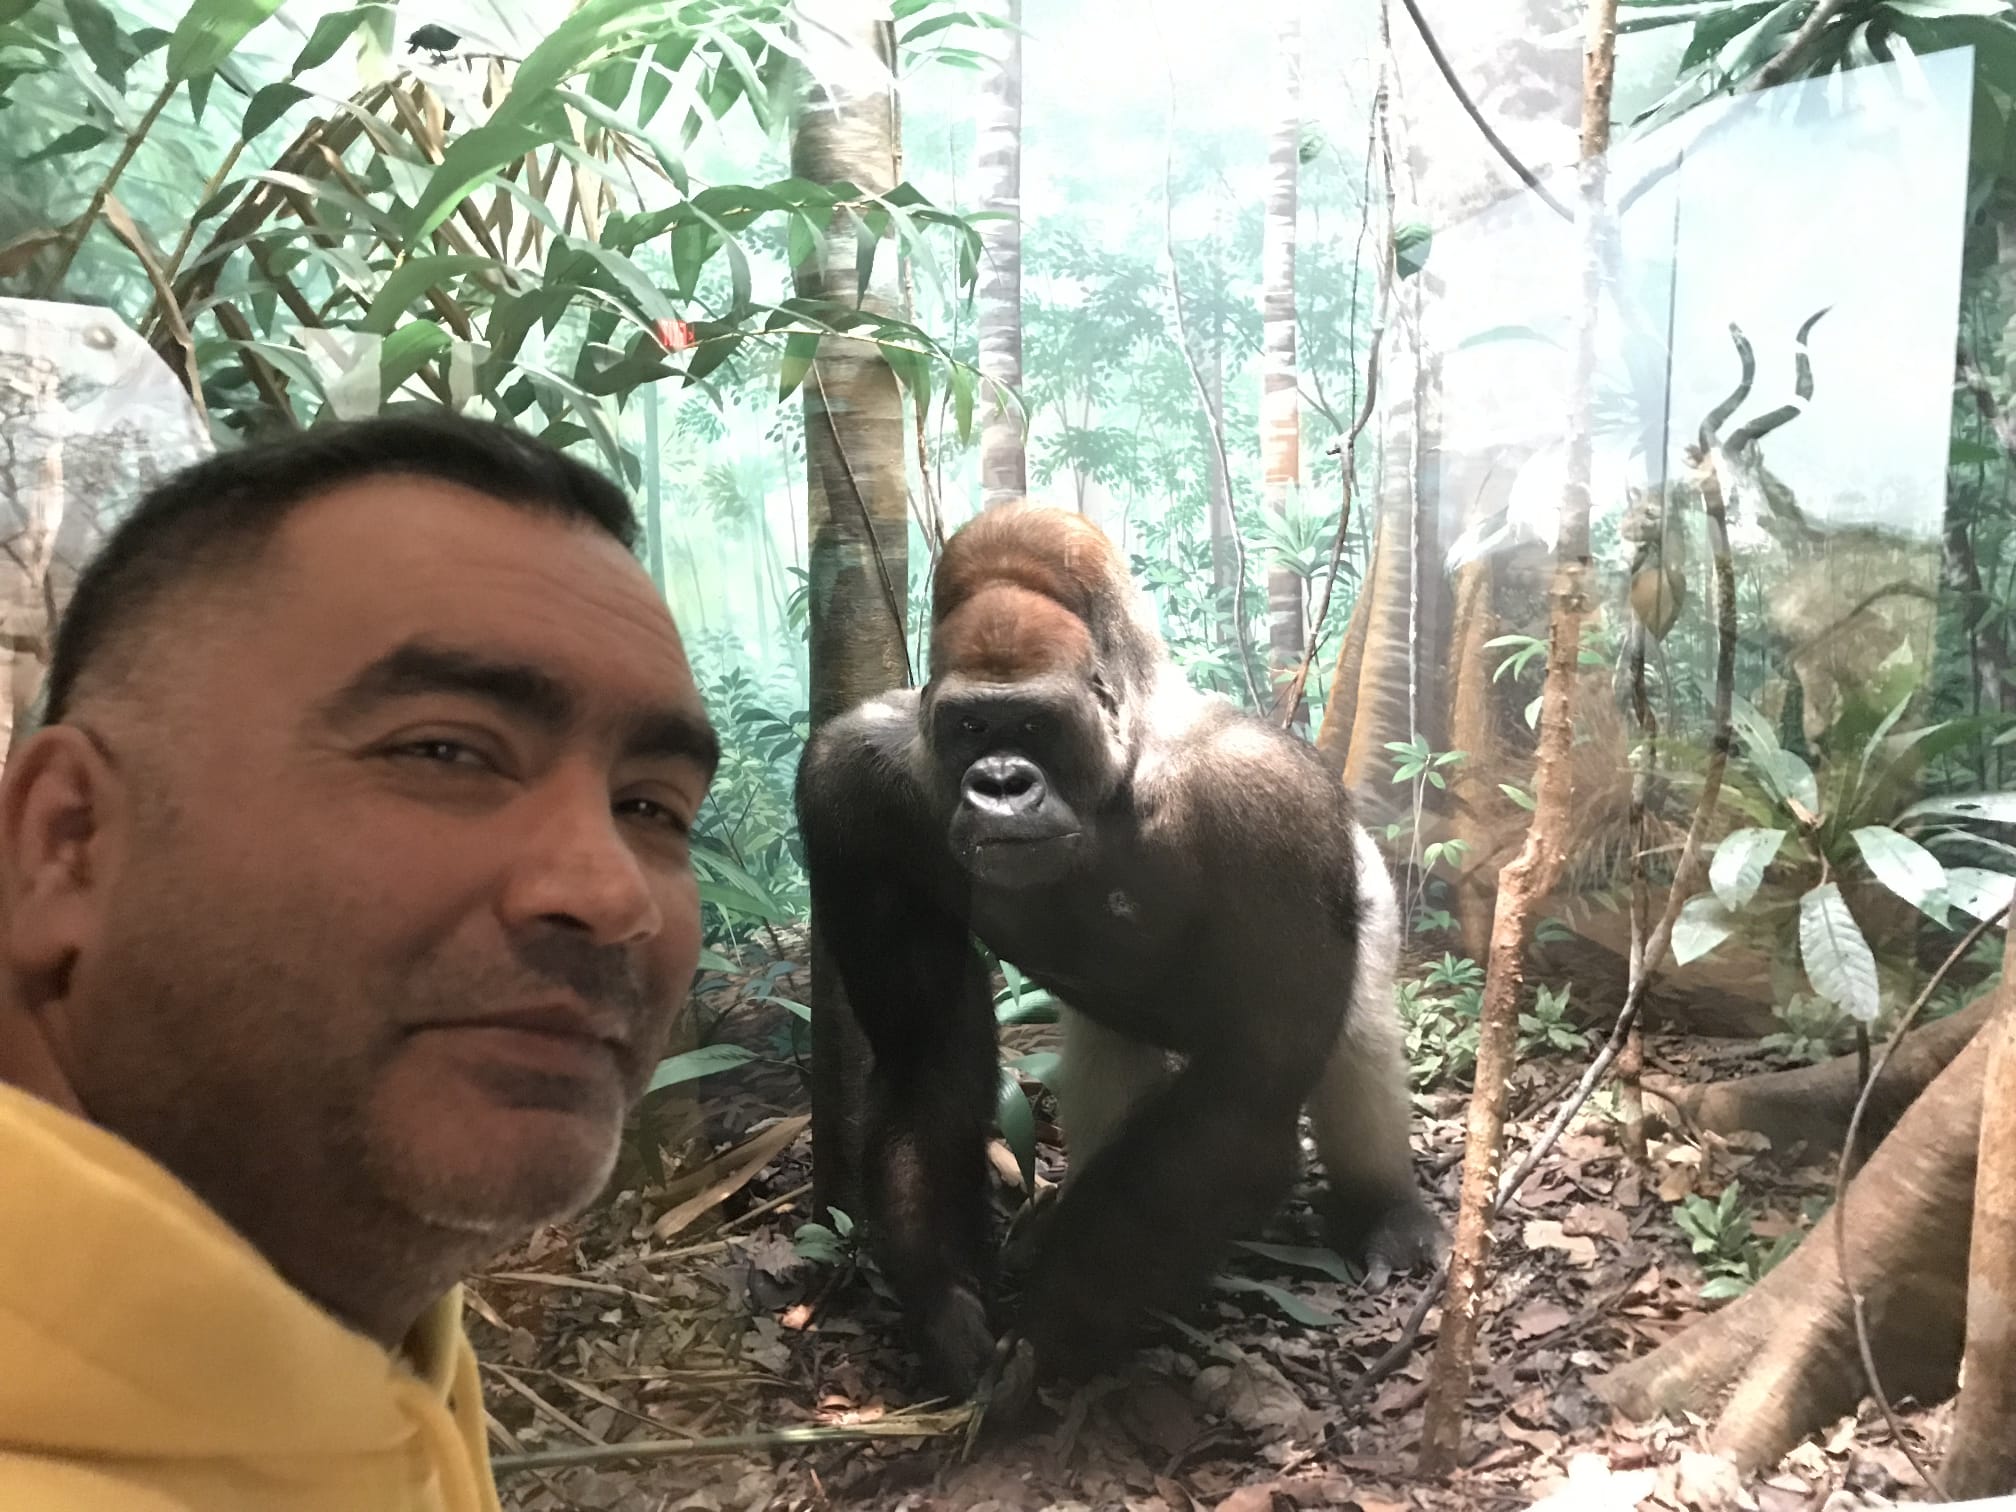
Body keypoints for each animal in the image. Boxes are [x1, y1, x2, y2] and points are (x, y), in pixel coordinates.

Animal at [794, 502, 1445, 1399]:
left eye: (1035, 725)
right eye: (970, 727)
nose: (1001, 783)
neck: (1121, 764)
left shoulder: (1268, 804)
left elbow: (1246, 1093)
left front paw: (1051, 1335)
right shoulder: (851, 778)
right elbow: (924, 1054)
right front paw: (946, 1306)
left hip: (1367, 879)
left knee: (1355, 1032)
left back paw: (1385, 1210)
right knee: (1107, 1058)